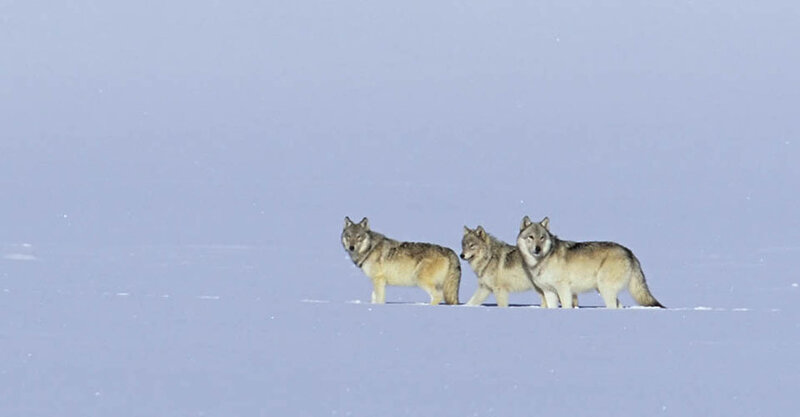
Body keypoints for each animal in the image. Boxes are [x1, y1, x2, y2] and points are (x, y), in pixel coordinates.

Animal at [516, 216, 664, 309]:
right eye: (531, 237)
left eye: (542, 237)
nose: (537, 249)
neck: (543, 259)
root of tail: (629, 252)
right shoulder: (549, 292)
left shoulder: (564, 290)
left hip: (605, 289)